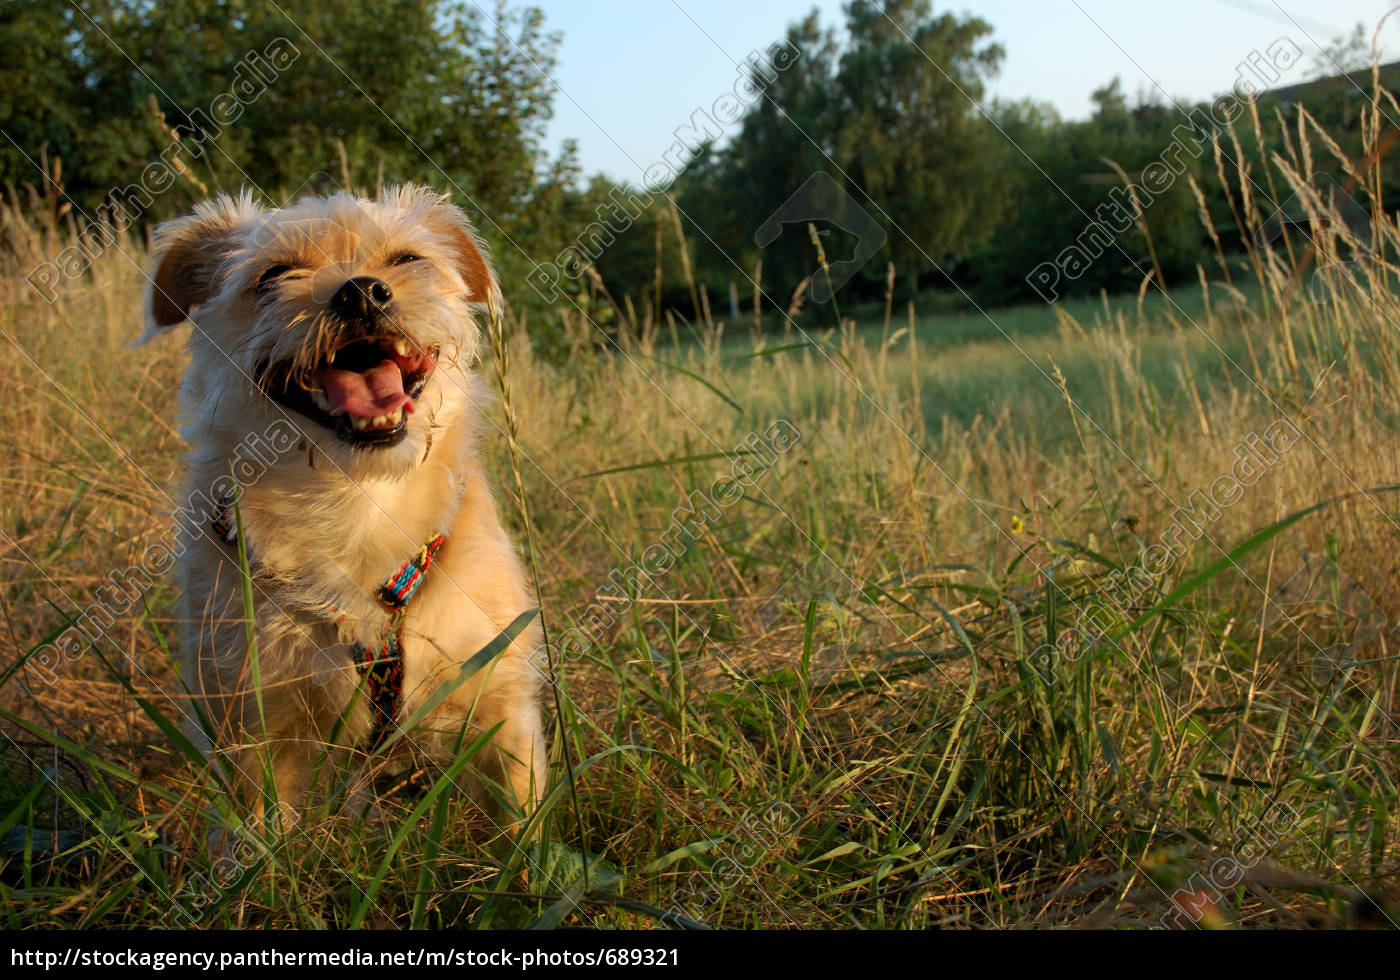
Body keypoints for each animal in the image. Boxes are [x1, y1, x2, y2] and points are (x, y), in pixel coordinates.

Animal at [146, 182, 546, 828]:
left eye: (408, 259)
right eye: (273, 274)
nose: (361, 290)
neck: (357, 499)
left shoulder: (501, 706)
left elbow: (521, 820)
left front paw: (530, 856)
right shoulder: (252, 729)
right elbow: (259, 840)